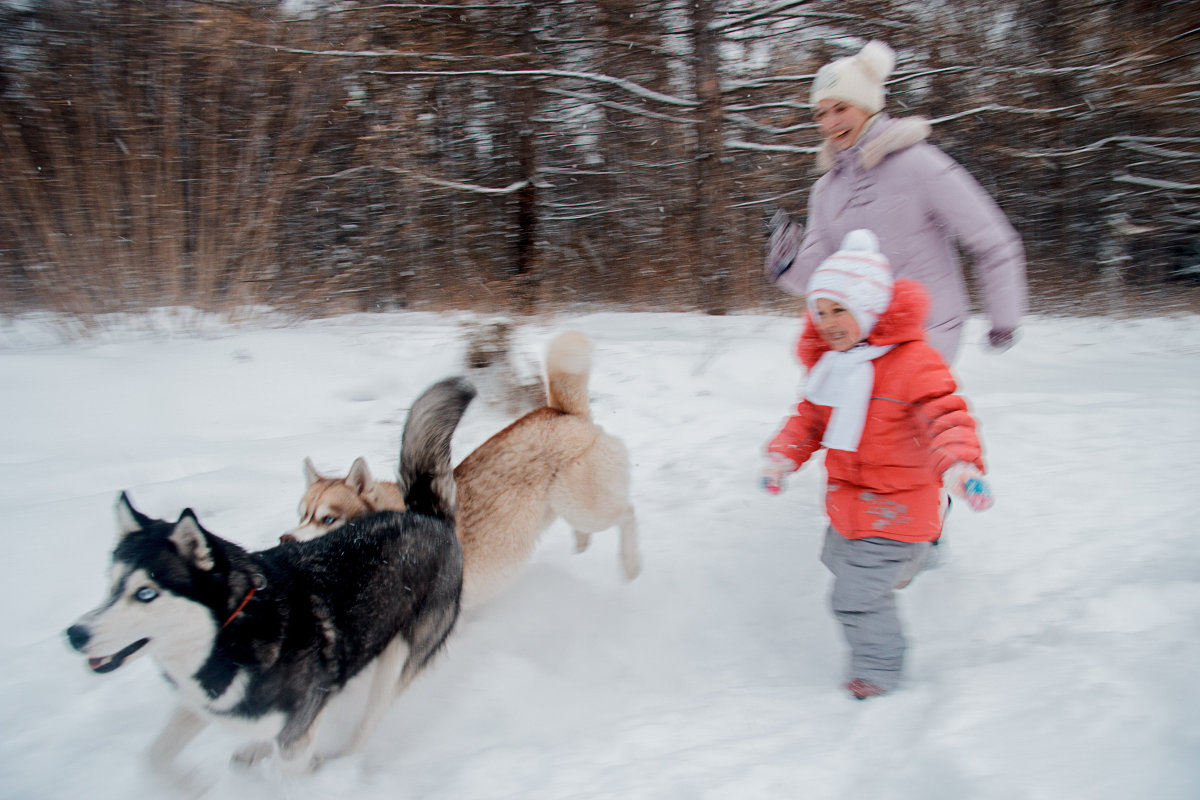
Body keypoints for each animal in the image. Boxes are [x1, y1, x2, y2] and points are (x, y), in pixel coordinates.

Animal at [283, 331, 638, 606]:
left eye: (328, 519)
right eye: (301, 515)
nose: (285, 540)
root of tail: (560, 411)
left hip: (582, 504)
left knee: (626, 513)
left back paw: (630, 564)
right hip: (565, 506)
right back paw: (581, 547)